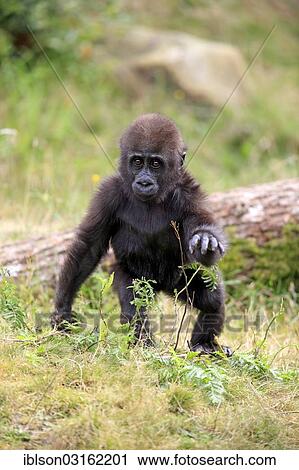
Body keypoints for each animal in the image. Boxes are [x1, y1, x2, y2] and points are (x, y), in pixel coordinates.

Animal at [52, 114, 233, 356]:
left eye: (155, 164)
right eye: (137, 162)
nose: (144, 181)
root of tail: (162, 287)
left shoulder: (190, 194)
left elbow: (207, 249)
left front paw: (206, 240)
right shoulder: (108, 194)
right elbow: (88, 248)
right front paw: (62, 311)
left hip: (179, 278)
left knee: (211, 298)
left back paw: (203, 344)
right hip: (135, 277)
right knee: (135, 303)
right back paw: (142, 344)